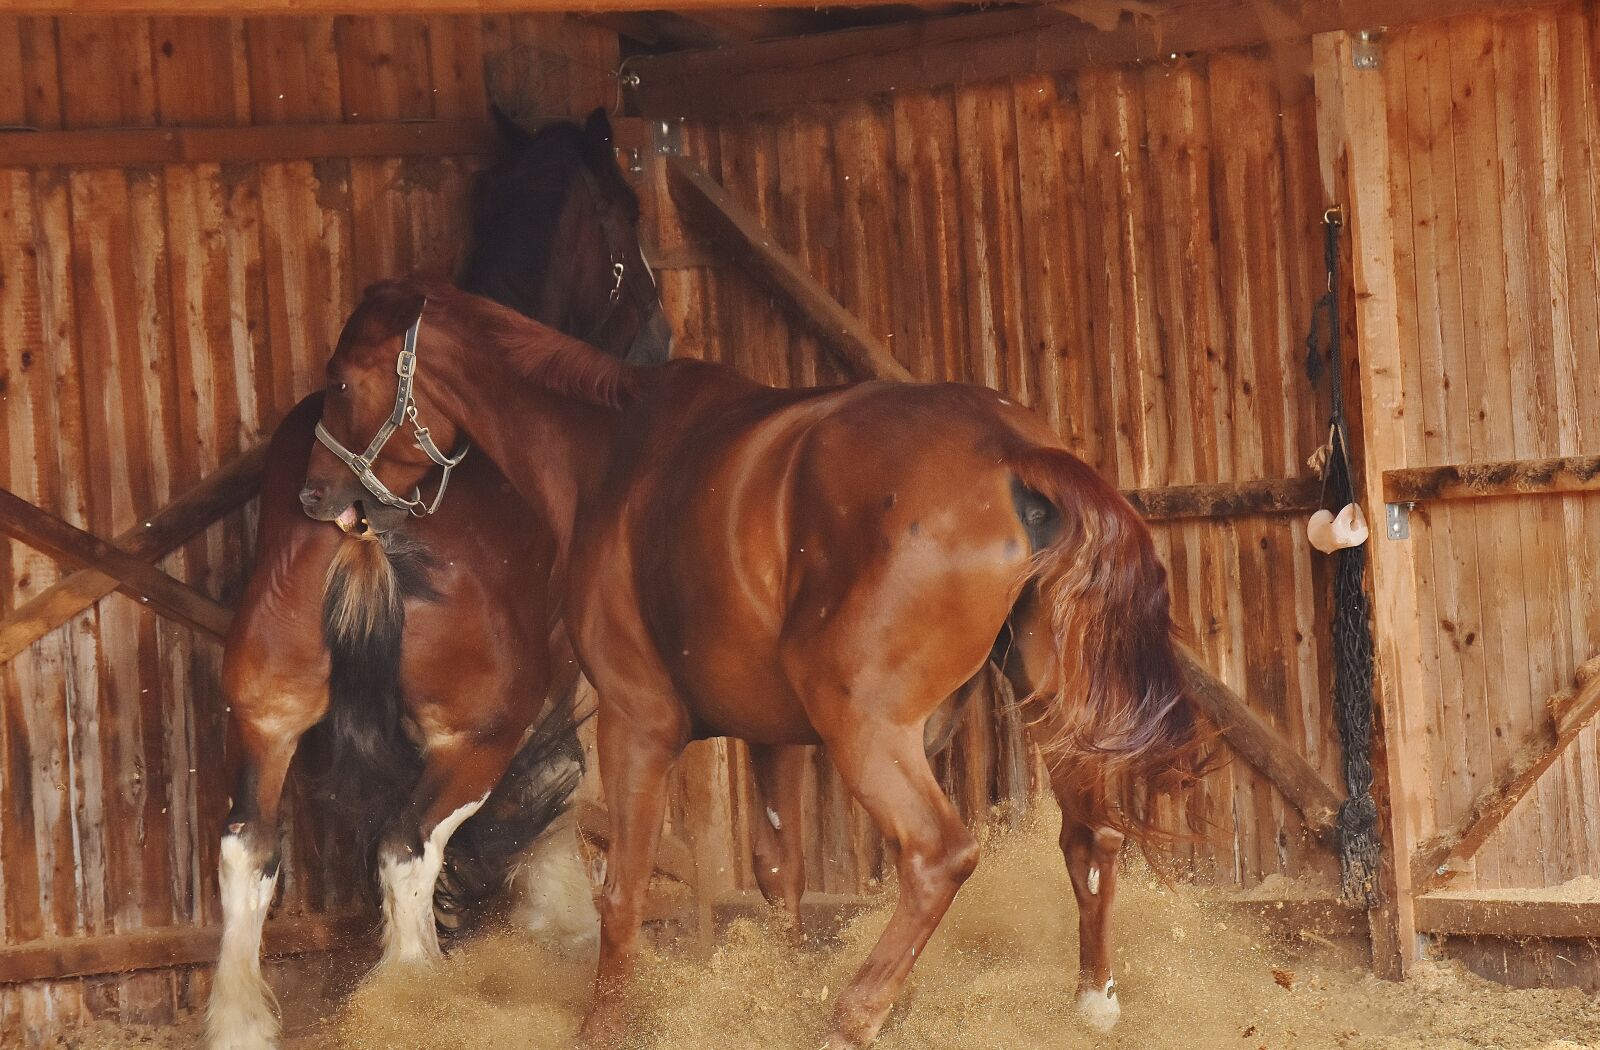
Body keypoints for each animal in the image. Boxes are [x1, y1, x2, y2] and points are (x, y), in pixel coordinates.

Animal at [204, 109, 668, 1050]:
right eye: (626, 219)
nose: (658, 322)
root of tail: (357, 520)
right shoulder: (558, 669)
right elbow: (559, 780)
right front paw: (562, 917)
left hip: (266, 716)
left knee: (246, 848)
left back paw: (240, 1021)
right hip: (472, 737)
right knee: (406, 846)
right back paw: (416, 1002)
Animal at [301, 278, 1207, 1047]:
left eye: (341, 382)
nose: (314, 496)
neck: (613, 455)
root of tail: (1013, 453)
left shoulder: (638, 723)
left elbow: (622, 890)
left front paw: (603, 1025)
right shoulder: (773, 739)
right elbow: (778, 874)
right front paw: (774, 987)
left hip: (864, 725)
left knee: (938, 855)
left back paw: (853, 1014)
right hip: (1050, 706)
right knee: (1092, 836)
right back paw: (1092, 1004)